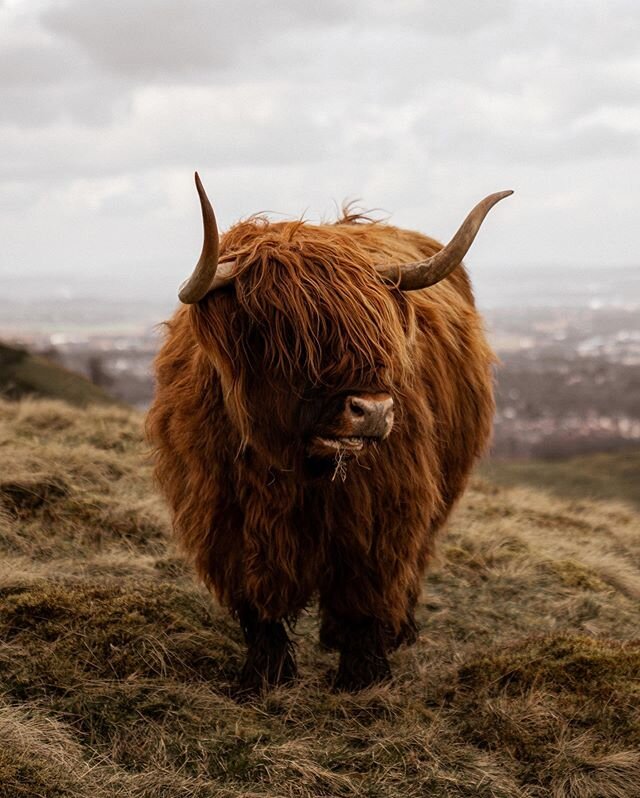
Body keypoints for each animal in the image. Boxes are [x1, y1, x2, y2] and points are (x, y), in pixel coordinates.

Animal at [148, 175, 512, 692]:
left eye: (381, 326)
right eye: (281, 332)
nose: (373, 411)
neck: (294, 468)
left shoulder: (380, 511)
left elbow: (365, 594)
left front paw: (362, 677)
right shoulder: (224, 517)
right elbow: (256, 603)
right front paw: (263, 676)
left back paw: (396, 632)